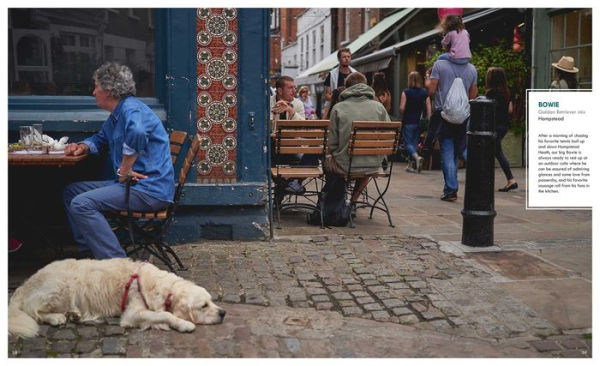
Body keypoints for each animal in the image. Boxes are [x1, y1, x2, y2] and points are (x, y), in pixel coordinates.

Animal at [8, 258, 225, 338]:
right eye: (203, 306)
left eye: (212, 301)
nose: (223, 313)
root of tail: (24, 284)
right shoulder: (133, 313)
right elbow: (164, 314)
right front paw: (183, 323)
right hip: (62, 286)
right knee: (33, 311)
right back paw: (57, 317)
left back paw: (73, 315)